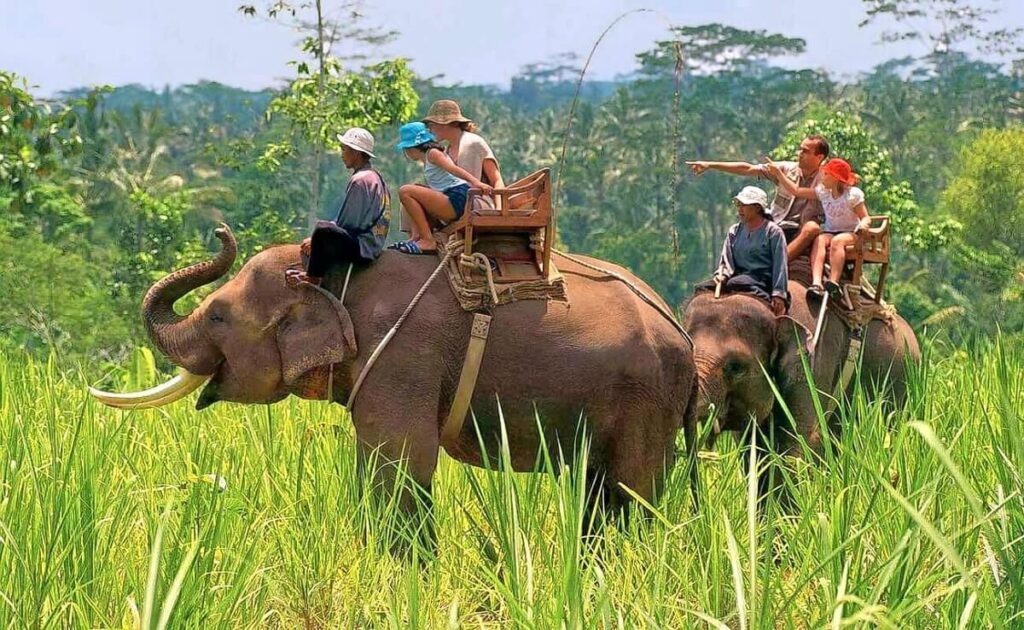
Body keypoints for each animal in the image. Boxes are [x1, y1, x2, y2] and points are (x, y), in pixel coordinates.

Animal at [91, 225, 697, 528]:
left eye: (217, 316)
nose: (219, 230)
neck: (335, 275)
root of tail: (683, 336)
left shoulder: (403, 355)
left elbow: (402, 461)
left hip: (645, 397)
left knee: (628, 492)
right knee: (601, 490)